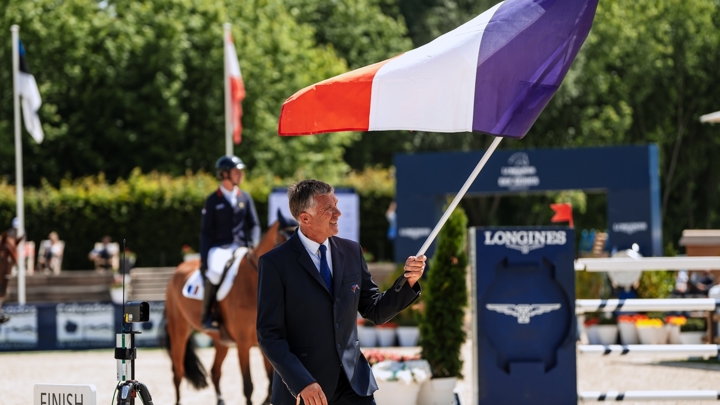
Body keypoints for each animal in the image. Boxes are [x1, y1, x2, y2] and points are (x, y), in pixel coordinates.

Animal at [165, 219, 294, 404]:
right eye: (281, 243)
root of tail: (178, 269)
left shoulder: (265, 345)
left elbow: (270, 385)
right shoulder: (243, 344)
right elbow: (248, 386)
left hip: (221, 341)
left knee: (215, 371)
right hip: (179, 331)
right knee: (178, 372)